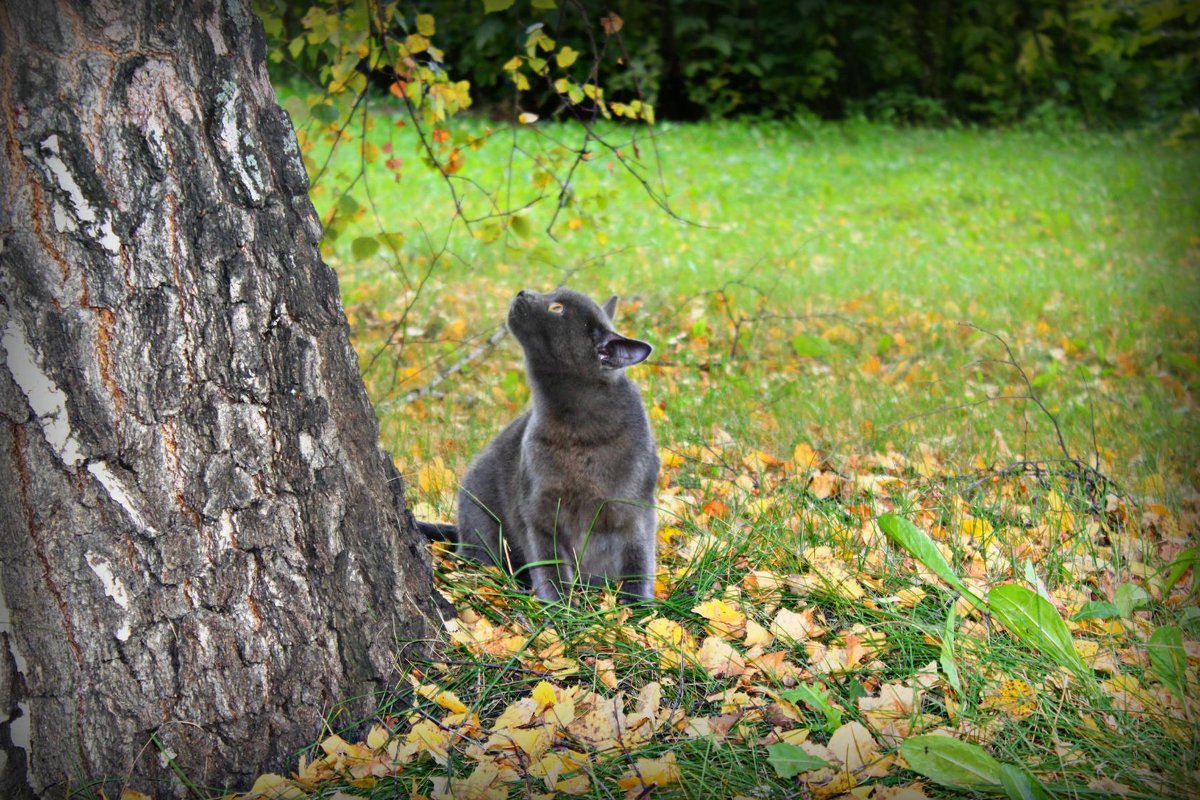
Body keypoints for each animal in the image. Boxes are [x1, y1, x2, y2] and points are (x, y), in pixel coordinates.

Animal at [417, 287, 662, 599]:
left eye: (557, 308)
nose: (524, 291)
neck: (577, 430)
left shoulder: (635, 512)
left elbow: (638, 565)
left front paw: (638, 608)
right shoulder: (539, 512)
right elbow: (550, 569)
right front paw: (559, 609)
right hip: (483, 521)